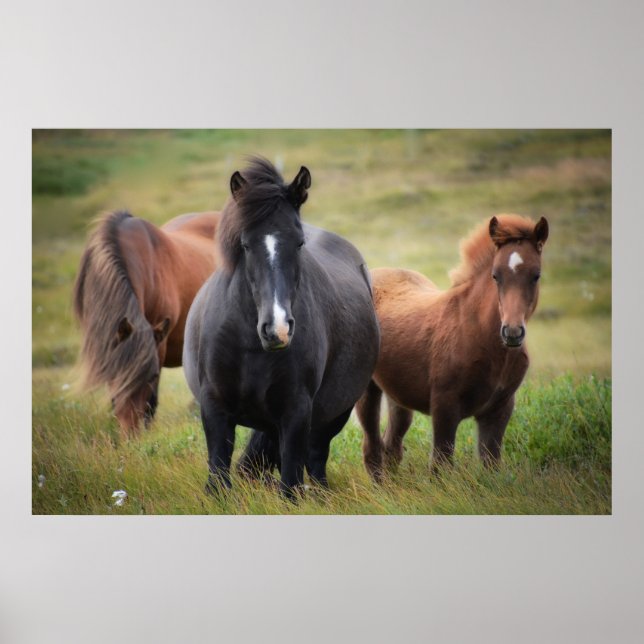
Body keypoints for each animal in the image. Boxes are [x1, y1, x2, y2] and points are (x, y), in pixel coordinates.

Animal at [183, 158, 380, 498]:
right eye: (245, 244)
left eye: (299, 243)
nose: (278, 329)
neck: (250, 345)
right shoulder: (214, 407)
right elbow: (218, 476)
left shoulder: (296, 411)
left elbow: (290, 483)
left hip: (334, 414)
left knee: (315, 459)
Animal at [355, 214, 549, 479]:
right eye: (495, 275)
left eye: (536, 275)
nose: (512, 332)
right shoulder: (444, 406)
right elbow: (440, 464)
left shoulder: (499, 409)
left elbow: (490, 464)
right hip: (367, 389)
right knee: (372, 448)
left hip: (398, 394)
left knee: (391, 446)